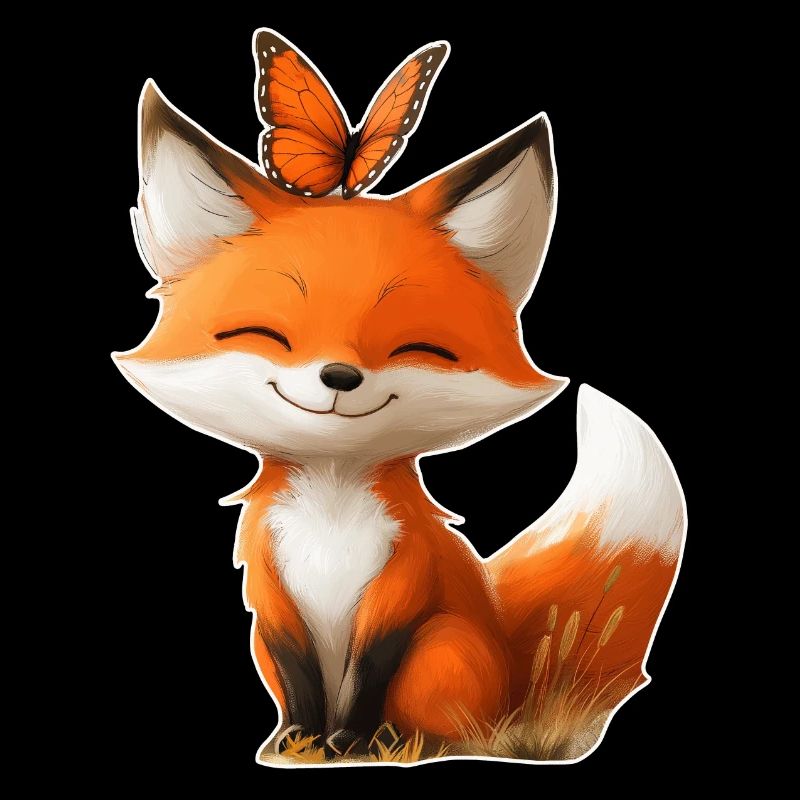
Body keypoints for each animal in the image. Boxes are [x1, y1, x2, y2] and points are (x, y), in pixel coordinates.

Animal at [114, 39, 685, 765]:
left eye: (416, 347)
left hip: (444, 646)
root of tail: (511, 671)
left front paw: (351, 739)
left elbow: (370, 669)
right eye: (268, 336)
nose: (339, 375)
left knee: (458, 724)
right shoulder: (271, 597)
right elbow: (297, 676)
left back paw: (405, 740)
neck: (331, 509)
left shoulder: (404, 581)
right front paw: (299, 740)